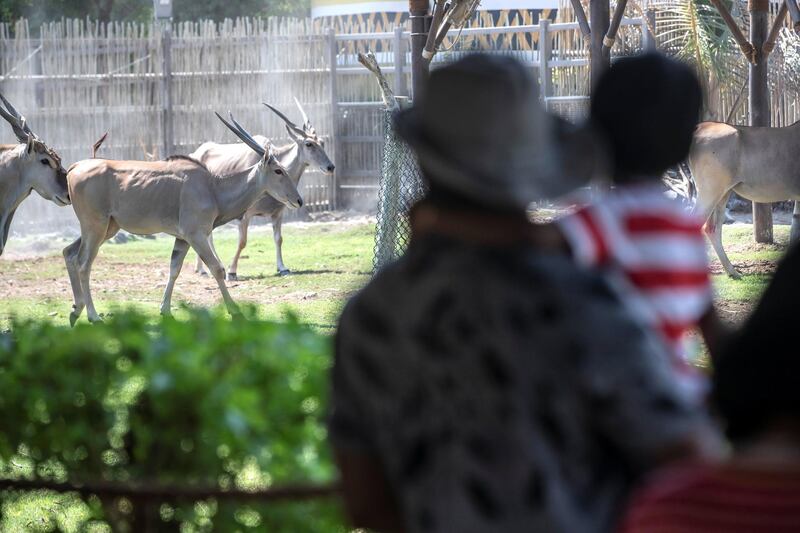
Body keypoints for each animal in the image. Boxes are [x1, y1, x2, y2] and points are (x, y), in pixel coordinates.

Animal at [63, 112, 304, 324]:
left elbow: (174, 269)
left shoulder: (182, 238)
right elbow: (217, 268)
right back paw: (93, 316)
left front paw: (165, 310)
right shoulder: (195, 234)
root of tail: (75, 168)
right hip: (96, 226)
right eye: (278, 170)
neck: (213, 187)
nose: (299, 200)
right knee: (83, 263)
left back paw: (76, 310)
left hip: (107, 228)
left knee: (69, 253)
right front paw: (236, 312)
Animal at [192, 98, 336, 278]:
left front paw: (282, 267)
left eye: (322, 142)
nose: (330, 167)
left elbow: (278, 239)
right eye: (309, 144)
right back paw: (205, 269)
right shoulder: (245, 216)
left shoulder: (277, 214)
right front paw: (232, 271)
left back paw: (202, 268)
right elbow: (242, 242)